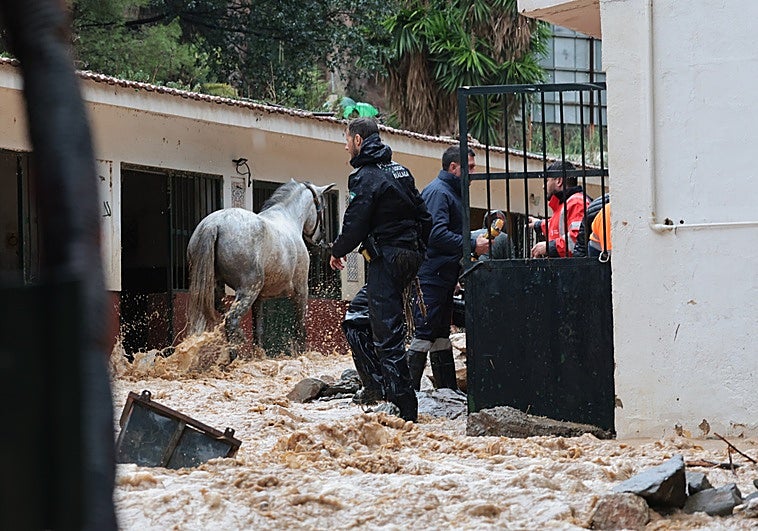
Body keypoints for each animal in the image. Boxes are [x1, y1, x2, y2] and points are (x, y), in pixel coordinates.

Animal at [186, 179, 335, 354]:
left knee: (223, 312)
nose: (321, 240)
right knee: (231, 320)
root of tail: (214, 224)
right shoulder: (301, 291)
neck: (288, 218)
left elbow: (258, 330)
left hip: (218, 288)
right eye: (323, 208)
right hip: (248, 289)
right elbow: (300, 326)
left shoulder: (259, 298)